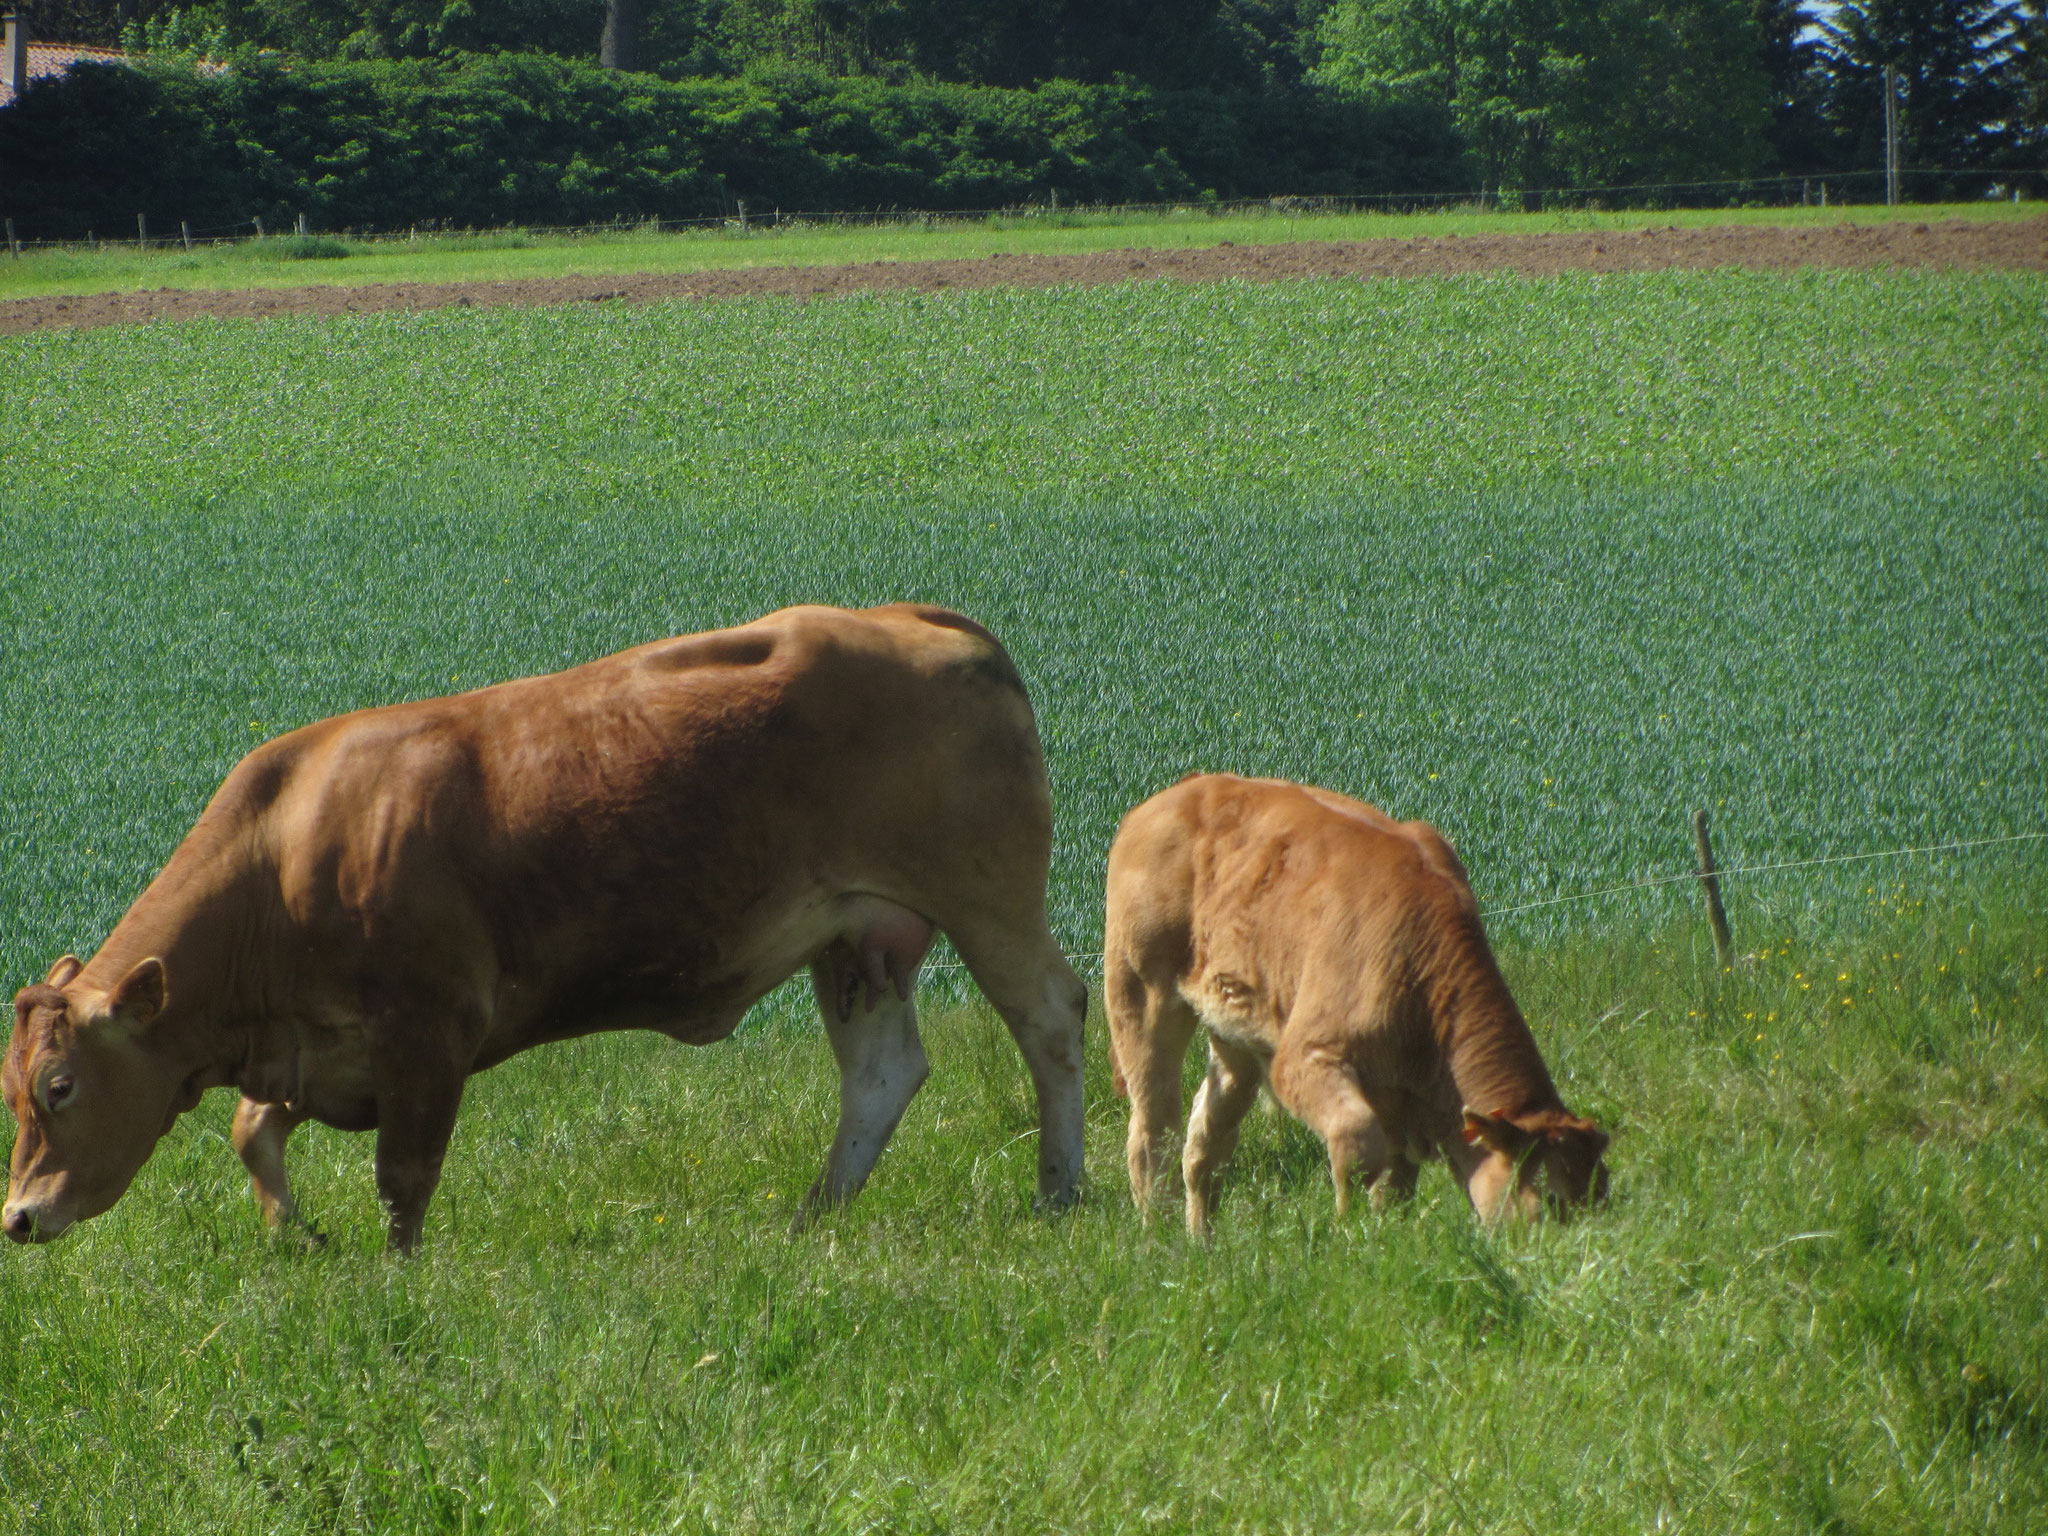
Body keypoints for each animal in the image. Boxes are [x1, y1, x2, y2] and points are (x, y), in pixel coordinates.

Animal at [4, 602, 1089, 1253]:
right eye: (14, 1090)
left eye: (60, 1086)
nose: (17, 1217)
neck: (287, 849)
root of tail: (920, 619)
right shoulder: (314, 1050)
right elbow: (249, 1134)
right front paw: (296, 1236)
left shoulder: (428, 1032)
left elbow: (402, 1179)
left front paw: (396, 1277)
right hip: (853, 937)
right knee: (882, 1073)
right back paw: (810, 1216)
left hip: (986, 897)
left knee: (1051, 1018)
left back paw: (1061, 1192)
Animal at [1105, 774, 1597, 1236]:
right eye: (1550, 1198)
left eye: (1598, 1199)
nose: (1571, 1253)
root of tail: (1182, 789)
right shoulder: (1304, 1057)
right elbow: (1358, 1143)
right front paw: (1348, 1235)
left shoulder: (1400, 1103)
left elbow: (1393, 1185)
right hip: (1139, 991)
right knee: (1152, 1131)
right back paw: (1159, 1233)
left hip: (1235, 1027)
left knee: (1204, 1143)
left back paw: (1200, 1242)